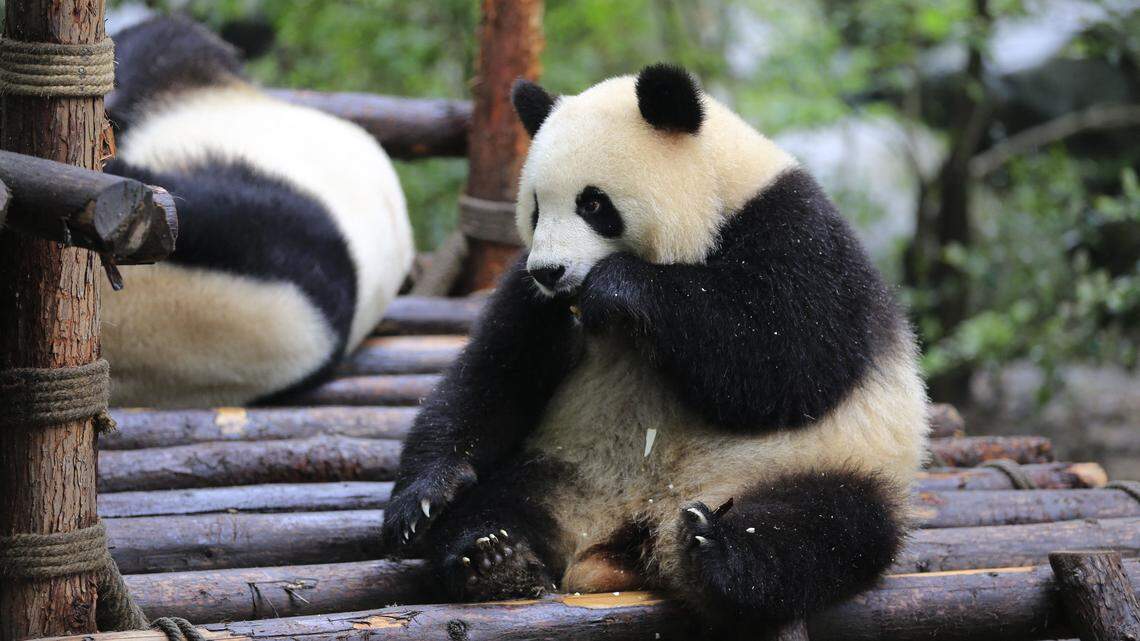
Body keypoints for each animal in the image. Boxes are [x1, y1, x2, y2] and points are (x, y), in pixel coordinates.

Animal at [382, 64, 929, 630]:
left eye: (592, 203)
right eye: (534, 209)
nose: (549, 271)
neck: (715, 195)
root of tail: (635, 527)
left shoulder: (794, 234)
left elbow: (788, 362)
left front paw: (618, 287)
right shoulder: (534, 300)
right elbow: (494, 376)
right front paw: (423, 500)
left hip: (800, 464)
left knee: (826, 529)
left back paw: (719, 557)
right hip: (564, 470)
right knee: (499, 502)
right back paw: (492, 557)